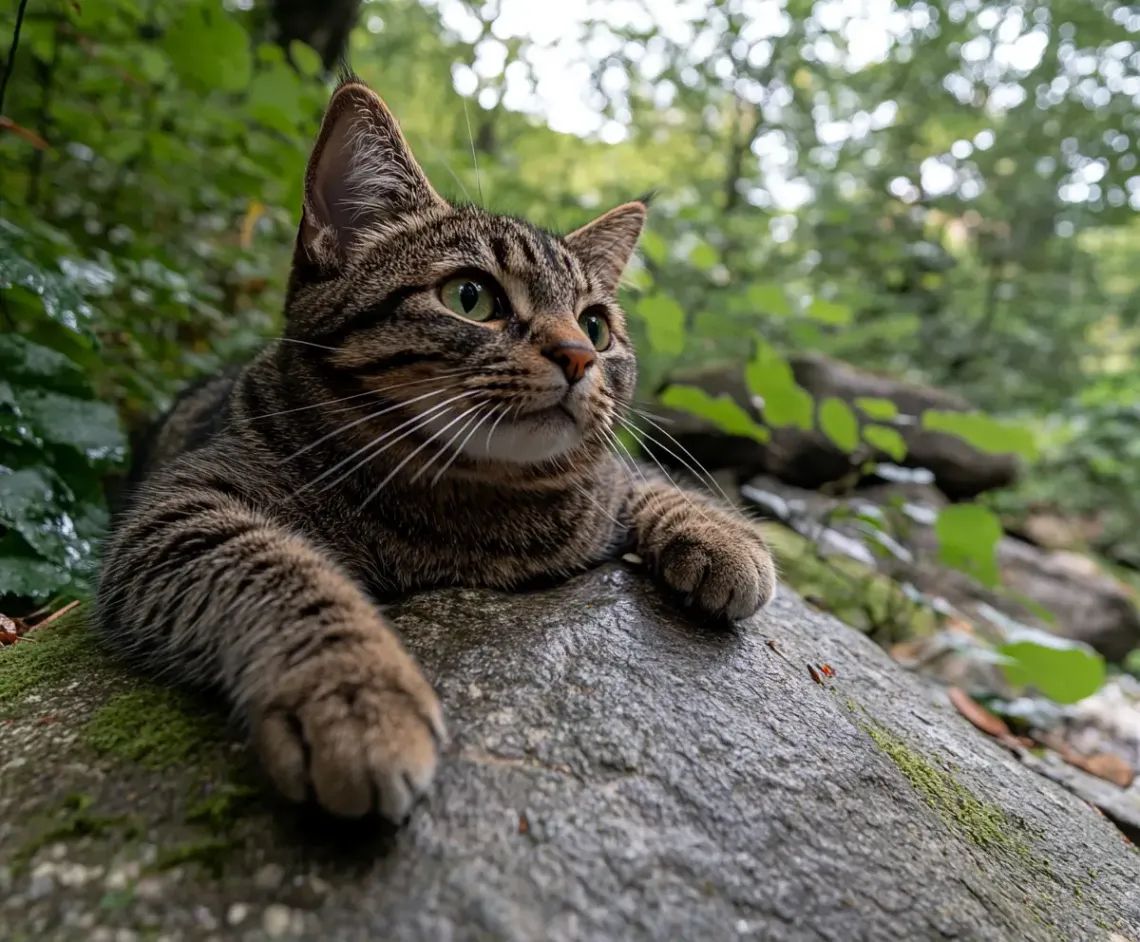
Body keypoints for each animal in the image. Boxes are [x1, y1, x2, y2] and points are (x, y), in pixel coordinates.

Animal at [95, 76, 775, 816]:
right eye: (470, 297)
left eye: (596, 326)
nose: (578, 355)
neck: (473, 507)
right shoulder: (178, 509)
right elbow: (280, 567)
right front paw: (355, 696)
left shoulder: (602, 482)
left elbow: (640, 479)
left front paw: (722, 535)